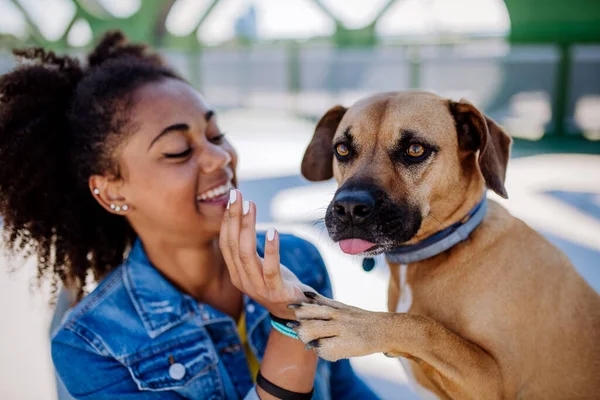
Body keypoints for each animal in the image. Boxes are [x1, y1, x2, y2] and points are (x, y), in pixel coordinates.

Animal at [294, 91, 600, 400]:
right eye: (343, 149)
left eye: (415, 149)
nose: (349, 208)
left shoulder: (496, 382)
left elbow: (425, 327)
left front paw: (351, 324)